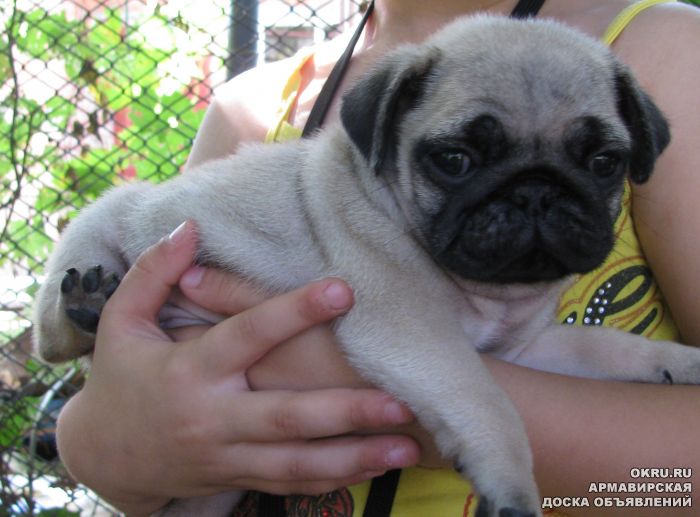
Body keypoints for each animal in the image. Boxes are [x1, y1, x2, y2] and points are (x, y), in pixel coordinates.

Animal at [31, 16, 696, 516]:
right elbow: (488, 402)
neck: (486, 292)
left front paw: (676, 362)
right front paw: (510, 483)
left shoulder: (525, 348)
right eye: (455, 159)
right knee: (57, 340)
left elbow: (607, 349)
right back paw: (89, 301)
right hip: (97, 229)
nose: (536, 191)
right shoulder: (411, 330)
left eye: (604, 163)